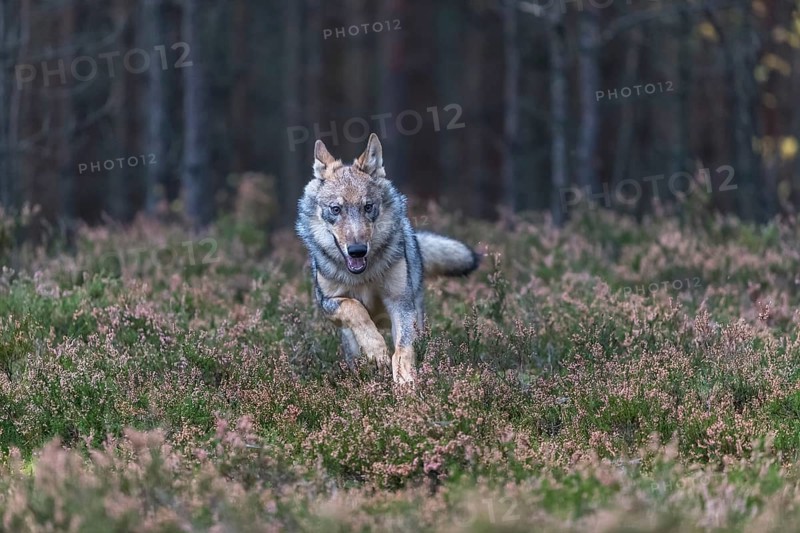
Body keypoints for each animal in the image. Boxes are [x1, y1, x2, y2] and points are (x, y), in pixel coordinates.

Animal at [296, 133, 480, 383]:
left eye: (368, 207)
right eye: (336, 209)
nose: (357, 250)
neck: (363, 276)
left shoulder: (400, 303)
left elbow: (403, 349)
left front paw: (405, 380)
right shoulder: (327, 302)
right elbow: (355, 308)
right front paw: (377, 351)